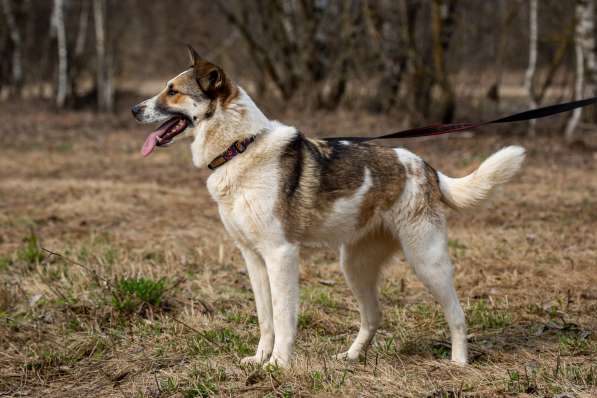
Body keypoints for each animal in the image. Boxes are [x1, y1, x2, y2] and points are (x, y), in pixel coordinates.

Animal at [133, 45, 524, 366]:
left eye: (173, 91)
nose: (134, 109)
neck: (240, 147)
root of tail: (427, 168)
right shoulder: (253, 259)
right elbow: (265, 318)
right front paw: (259, 359)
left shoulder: (281, 255)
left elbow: (283, 317)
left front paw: (278, 364)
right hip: (354, 265)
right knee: (373, 316)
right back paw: (351, 356)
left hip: (427, 260)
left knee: (456, 314)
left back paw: (459, 362)